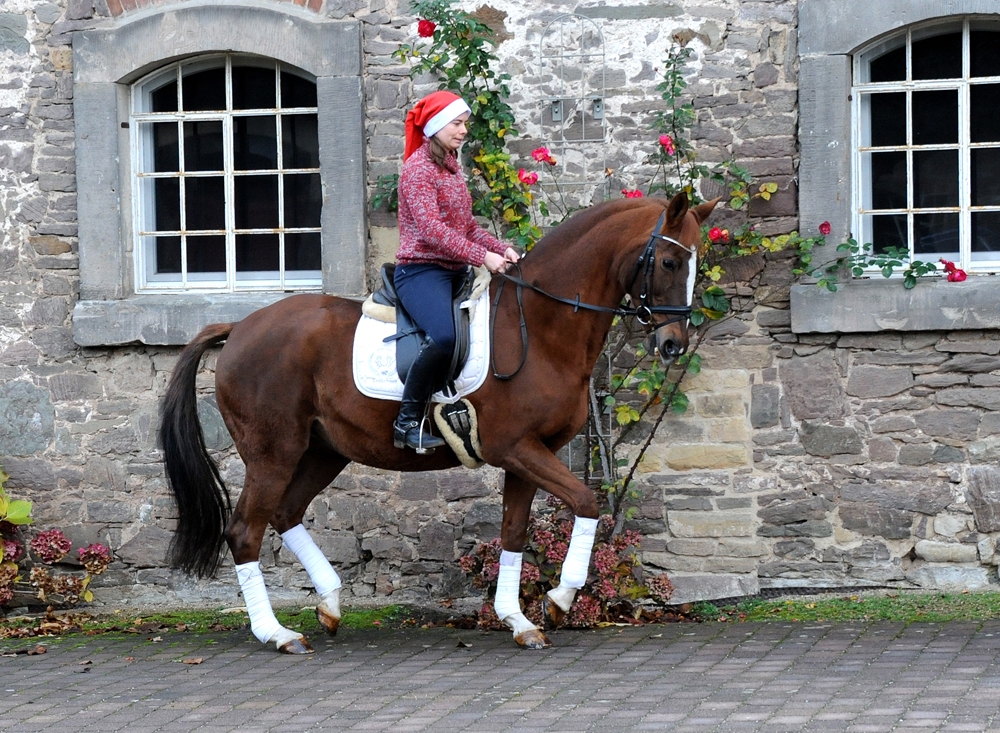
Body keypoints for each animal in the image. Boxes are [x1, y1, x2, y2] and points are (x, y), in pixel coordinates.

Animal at [160, 193, 716, 652]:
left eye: (695, 264)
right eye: (669, 261)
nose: (673, 344)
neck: (539, 327)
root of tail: (240, 327)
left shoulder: (527, 455)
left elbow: (514, 533)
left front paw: (519, 621)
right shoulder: (515, 447)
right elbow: (586, 501)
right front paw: (558, 601)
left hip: (323, 451)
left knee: (286, 513)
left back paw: (331, 605)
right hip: (273, 453)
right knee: (244, 532)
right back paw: (277, 633)